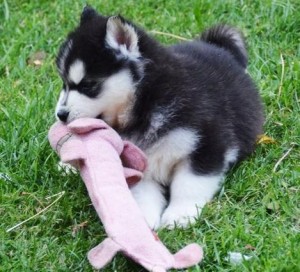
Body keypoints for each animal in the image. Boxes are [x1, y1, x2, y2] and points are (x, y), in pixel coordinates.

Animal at [55, 6, 264, 230]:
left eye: (88, 85)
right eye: (64, 83)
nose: (61, 115)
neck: (147, 102)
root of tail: (214, 47)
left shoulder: (208, 141)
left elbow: (190, 183)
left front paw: (180, 215)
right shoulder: (137, 160)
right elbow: (143, 191)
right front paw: (142, 219)